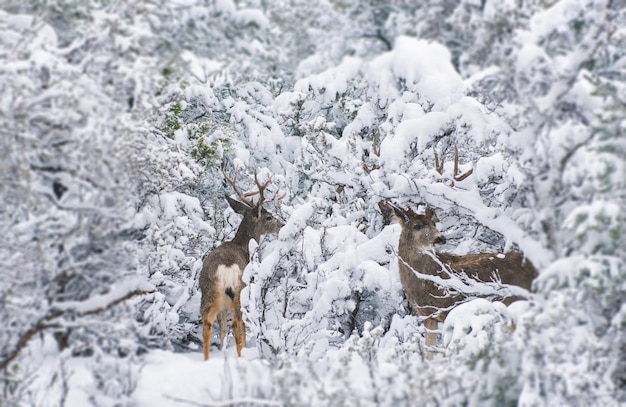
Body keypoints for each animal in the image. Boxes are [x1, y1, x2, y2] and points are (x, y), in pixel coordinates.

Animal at [197, 168, 282, 360]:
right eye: (268, 217)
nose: (282, 224)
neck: (243, 246)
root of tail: (225, 267)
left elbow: (222, 330)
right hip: (239, 291)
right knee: (237, 323)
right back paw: (241, 354)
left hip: (209, 291)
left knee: (209, 323)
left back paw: (207, 358)